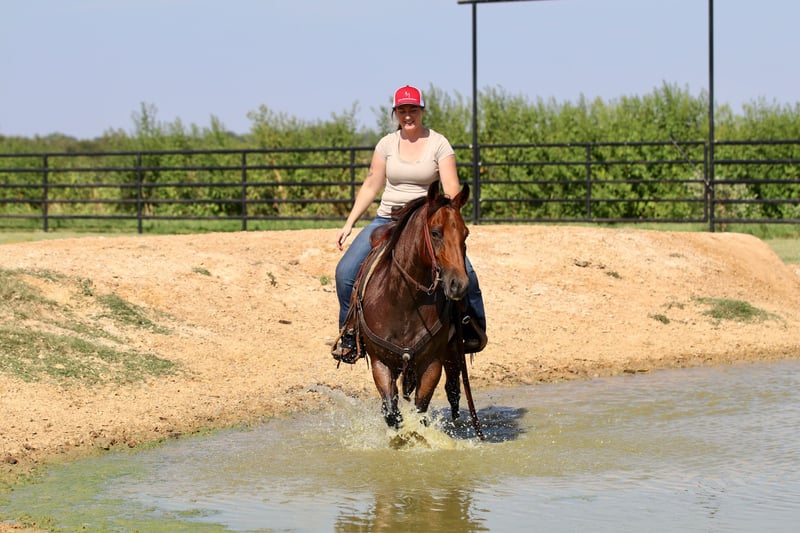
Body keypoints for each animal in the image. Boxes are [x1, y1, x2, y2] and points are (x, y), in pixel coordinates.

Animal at [346, 180, 483, 438]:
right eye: (435, 232)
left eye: (466, 233)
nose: (458, 285)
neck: (404, 302)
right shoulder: (381, 363)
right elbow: (391, 412)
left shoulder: (432, 364)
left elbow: (421, 410)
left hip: (452, 353)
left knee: (453, 391)